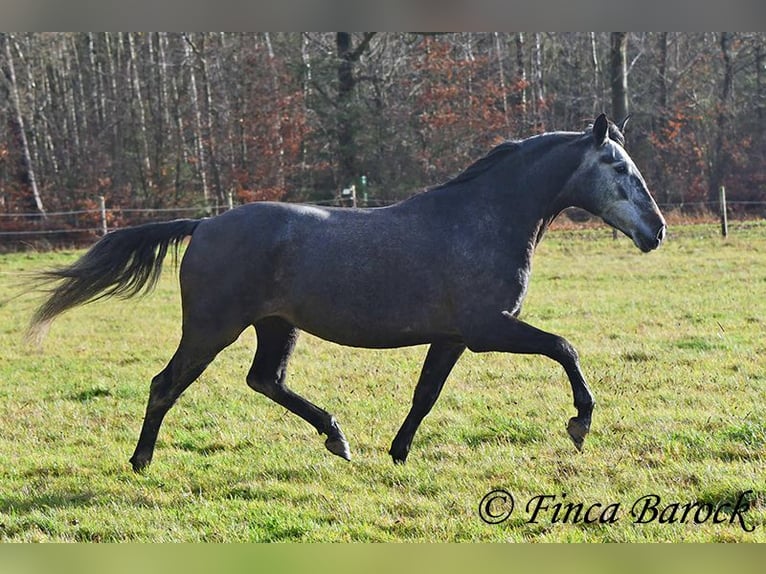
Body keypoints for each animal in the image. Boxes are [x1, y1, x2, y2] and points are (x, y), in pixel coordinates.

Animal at [28, 113, 664, 472]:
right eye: (617, 167)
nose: (656, 231)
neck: (482, 219)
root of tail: (204, 224)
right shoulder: (489, 329)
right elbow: (564, 347)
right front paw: (581, 424)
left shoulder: (453, 337)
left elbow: (425, 395)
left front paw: (398, 454)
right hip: (211, 328)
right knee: (166, 385)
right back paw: (140, 462)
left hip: (275, 326)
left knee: (265, 380)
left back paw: (337, 438)